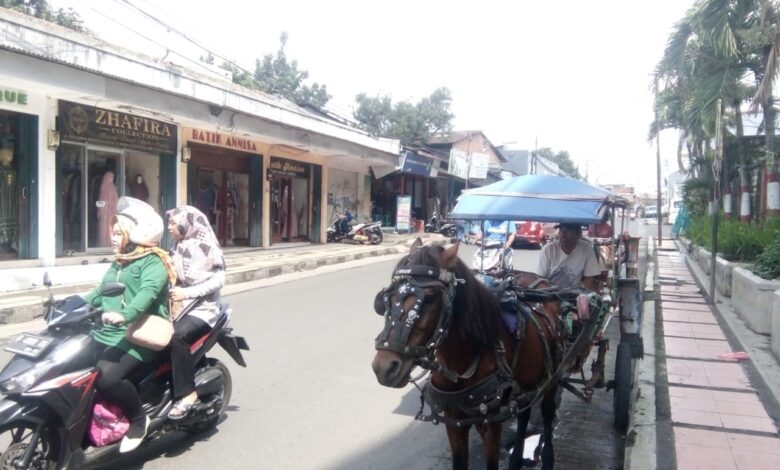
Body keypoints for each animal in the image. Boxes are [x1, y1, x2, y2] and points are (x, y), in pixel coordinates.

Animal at [368, 241, 564, 468]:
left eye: (430, 298)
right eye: (387, 297)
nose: (384, 368)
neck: (462, 361)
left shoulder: (491, 422)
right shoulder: (454, 421)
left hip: (552, 377)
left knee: (548, 413)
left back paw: (547, 457)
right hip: (526, 385)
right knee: (524, 414)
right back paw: (516, 458)